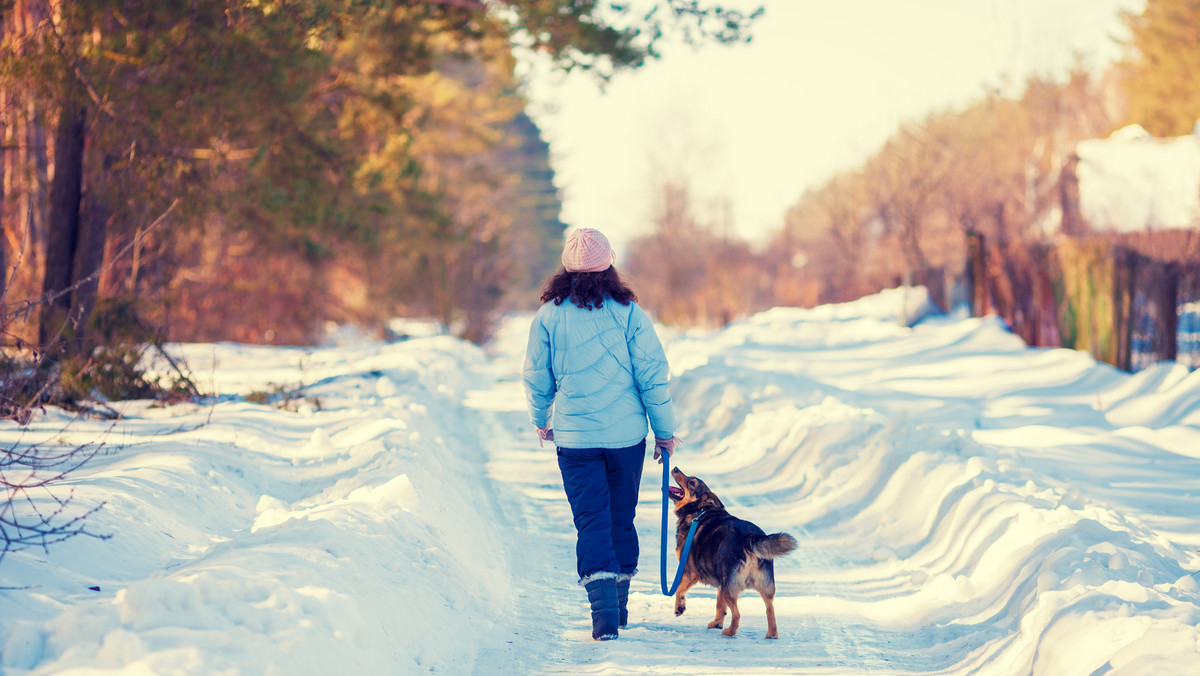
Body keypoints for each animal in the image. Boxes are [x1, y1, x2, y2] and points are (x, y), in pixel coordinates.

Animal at [667, 468, 796, 638]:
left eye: (692, 482)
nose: (675, 468)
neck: (700, 511)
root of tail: (749, 537)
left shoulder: (690, 572)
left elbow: (679, 589)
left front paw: (679, 608)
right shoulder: (720, 583)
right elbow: (720, 606)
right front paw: (717, 623)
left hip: (730, 588)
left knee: (737, 614)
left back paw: (730, 632)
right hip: (762, 587)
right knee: (770, 611)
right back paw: (771, 634)